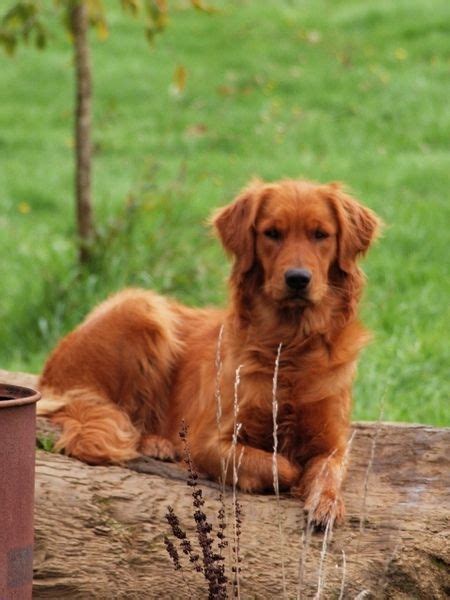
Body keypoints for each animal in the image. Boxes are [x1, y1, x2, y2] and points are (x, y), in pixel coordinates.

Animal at [37, 178, 380, 524]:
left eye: (320, 234)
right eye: (272, 233)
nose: (298, 279)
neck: (290, 344)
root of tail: (51, 371)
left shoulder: (333, 442)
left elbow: (327, 468)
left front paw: (326, 502)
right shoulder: (207, 441)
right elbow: (279, 465)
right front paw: (289, 473)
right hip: (144, 308)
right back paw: (157, 442)